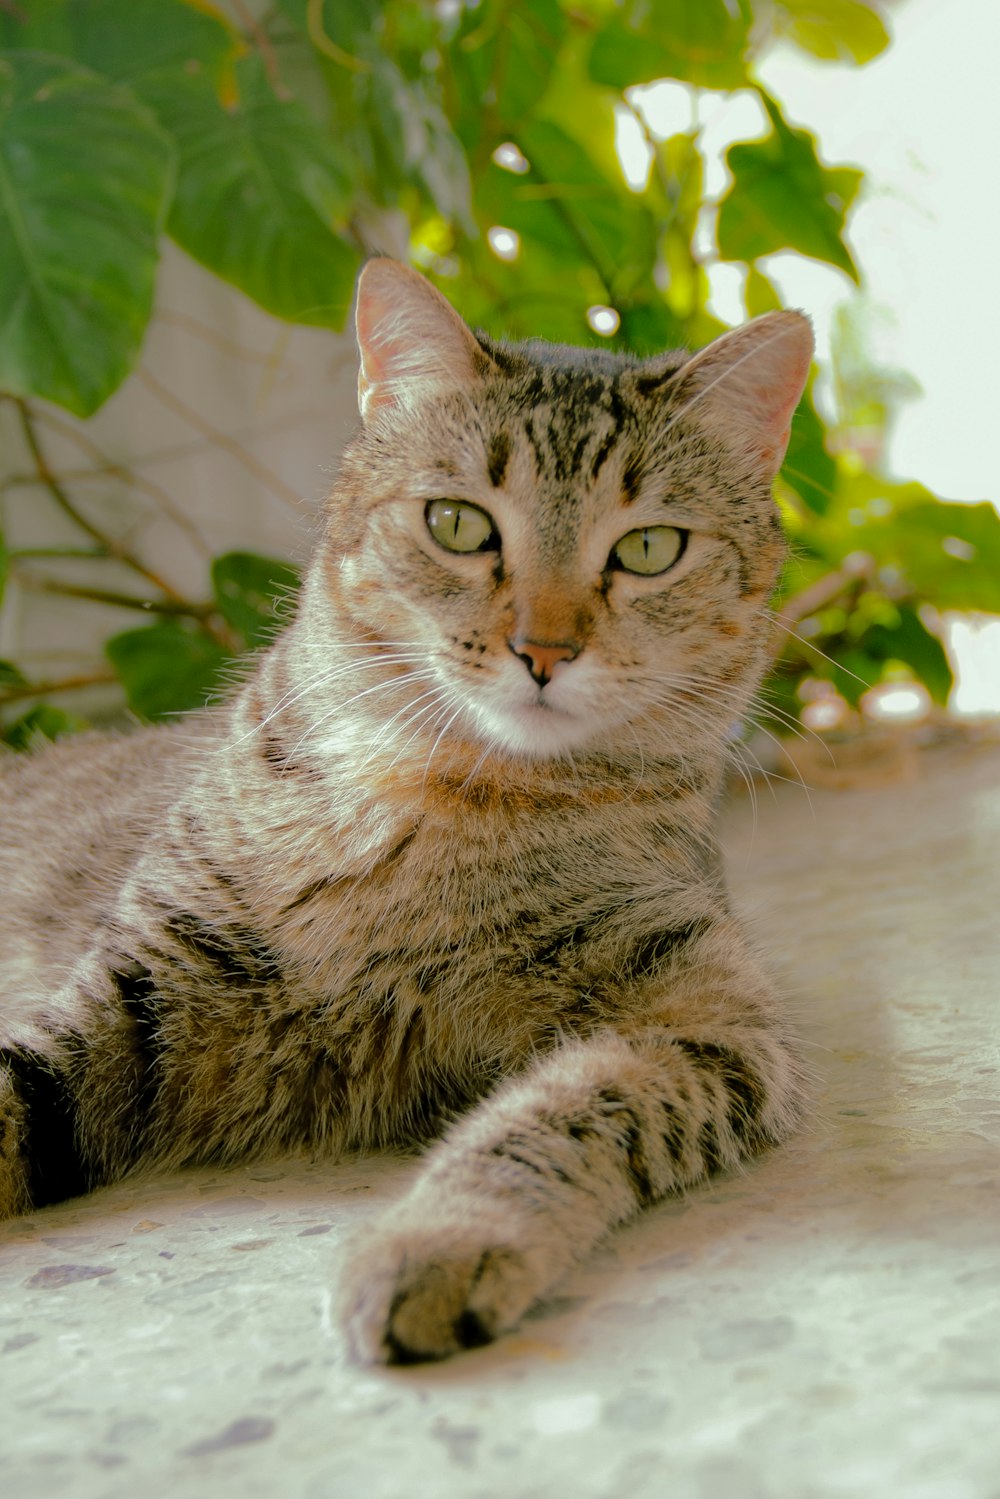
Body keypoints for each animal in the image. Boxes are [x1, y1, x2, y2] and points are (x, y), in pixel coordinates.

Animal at [0, 257, 815, 1361]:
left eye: (649, 547)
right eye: (458, 523)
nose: (544, 649)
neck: (449, 798)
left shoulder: (706, 1018)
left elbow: (557, 1114)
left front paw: (435, 1239)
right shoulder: (135, 984)